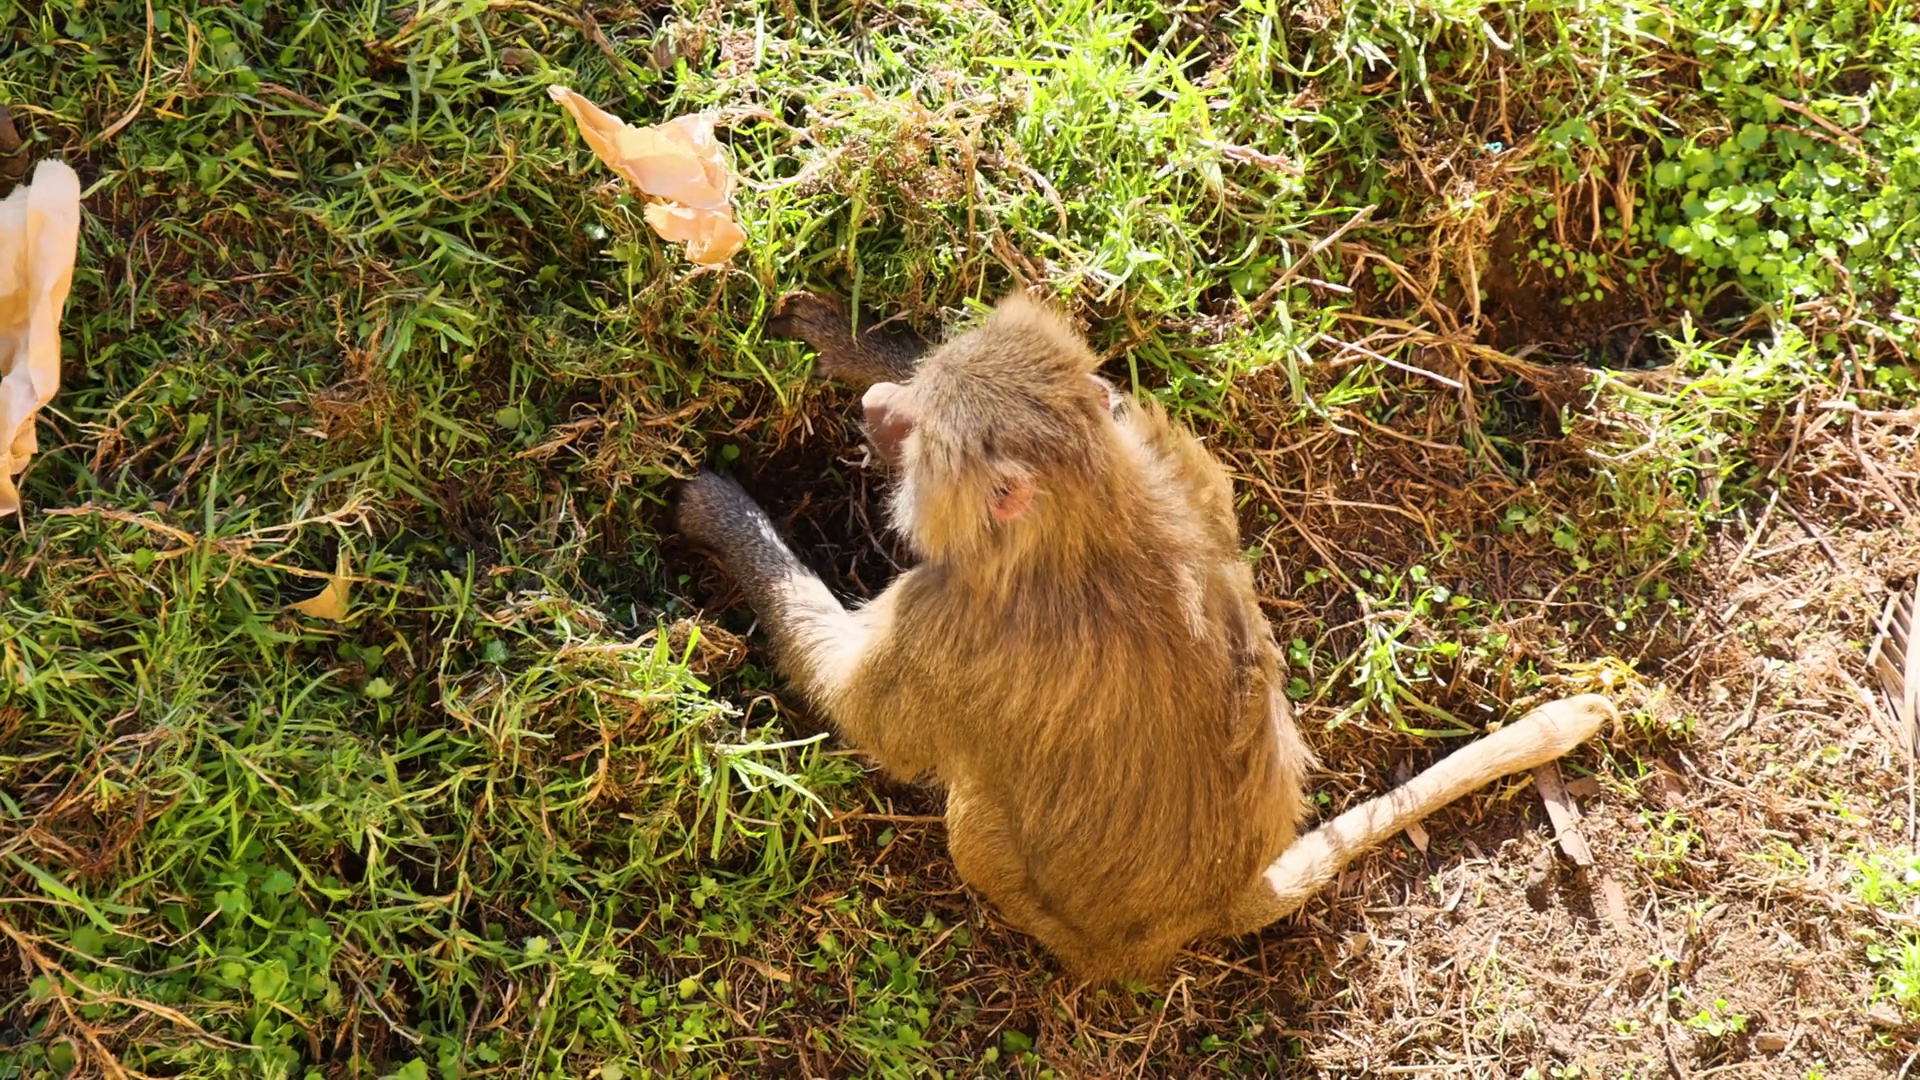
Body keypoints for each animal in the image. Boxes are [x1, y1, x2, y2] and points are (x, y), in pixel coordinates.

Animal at [676, 289, 1614, 982]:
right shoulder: (1149, 451)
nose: (878, 406)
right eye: (917, 399)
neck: (1086, 518)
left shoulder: (943, 628)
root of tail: (1216, 902)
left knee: (973, 820)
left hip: (1042, 897)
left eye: (911, 436)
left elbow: (858, 711)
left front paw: (721, 515)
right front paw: (848, 341)